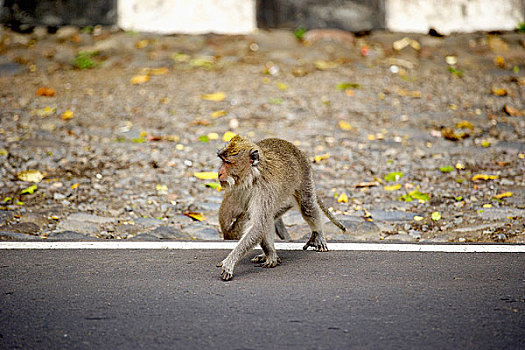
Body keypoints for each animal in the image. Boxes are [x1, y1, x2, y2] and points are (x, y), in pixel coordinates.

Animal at [215, 135, 346, 280]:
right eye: (222, 161)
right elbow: (259, 222)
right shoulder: (240, 191)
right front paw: (270, 254)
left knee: (307, 206)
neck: (254, 176)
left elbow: (258, 225)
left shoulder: (265, 190)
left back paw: (318, 234)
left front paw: (229, 263)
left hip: (304, 173)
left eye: (228, 162)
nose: (219, 173)